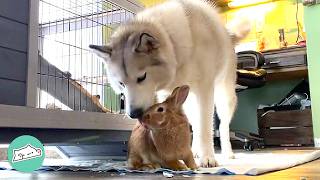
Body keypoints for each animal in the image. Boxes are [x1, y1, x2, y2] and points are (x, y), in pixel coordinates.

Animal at [90, 0, 250, 167]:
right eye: (121, 83)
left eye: (142, 77)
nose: (134, 114)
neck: (174, 44)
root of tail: (228, 34)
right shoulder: (166, 94)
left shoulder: (205, 90)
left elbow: (206, 128)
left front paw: (208, 157)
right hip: (188, 102)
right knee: (195, 124)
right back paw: (195, 150)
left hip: (225, 97)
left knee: (222, 126)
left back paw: (227, 152)